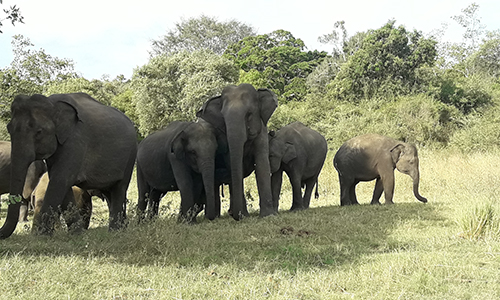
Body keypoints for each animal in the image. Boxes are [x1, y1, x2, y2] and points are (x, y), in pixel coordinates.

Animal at [0, 92, 137, 238]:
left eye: (39, 132)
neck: (52, 103)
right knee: (109, 192)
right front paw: (77, 234)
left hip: (130, 156)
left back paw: (115, 232)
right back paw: (120, 229)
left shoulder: (76, 140)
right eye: (9, 129)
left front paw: (42, 236)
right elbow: (60, 181)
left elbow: (61, 179)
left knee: (120, 188)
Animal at [197, 83, 280, 219]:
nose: (236, 215)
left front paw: (267, 216)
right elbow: (234, 165)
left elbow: (262, 163)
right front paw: (244, 216)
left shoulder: (262, 129)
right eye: (223, 118)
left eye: (249, 114)